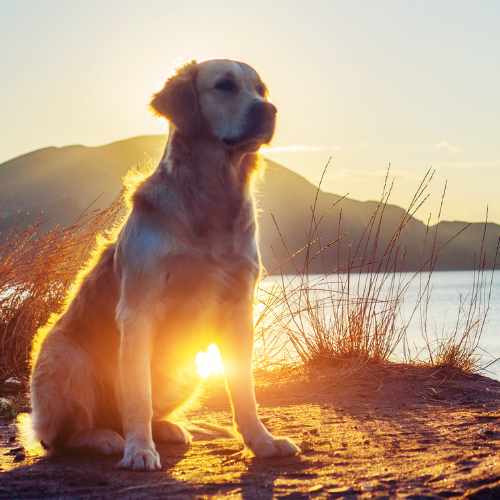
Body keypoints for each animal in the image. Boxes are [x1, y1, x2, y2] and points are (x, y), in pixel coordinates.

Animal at [30, 60, 300, 470]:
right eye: (225, 85)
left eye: (260, 89)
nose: (268, 110)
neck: (212, 197)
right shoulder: (137, 311)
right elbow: (138, 396)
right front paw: (139, 450)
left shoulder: (239, 310)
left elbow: (244, 390)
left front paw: (262, 442)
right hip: (64, 356)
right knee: (60, 438)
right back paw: (106, 438)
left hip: (188, 369)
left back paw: (167, 428)